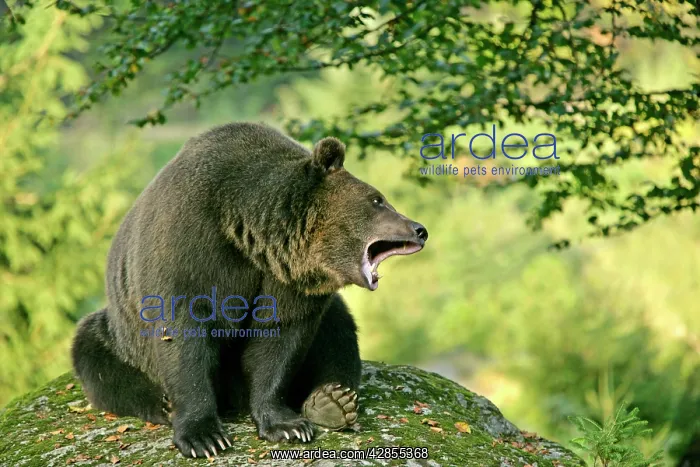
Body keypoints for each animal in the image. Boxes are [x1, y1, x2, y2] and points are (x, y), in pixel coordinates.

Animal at [71, 122, 428, 459]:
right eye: (377, 200)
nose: (420, 229)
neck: (250, 232)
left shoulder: (286, 283)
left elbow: (279, 339)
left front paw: (287, 424)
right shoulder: (188, 244)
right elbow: (182, 333)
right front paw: (204, 436)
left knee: (339, 330)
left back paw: (332, 400)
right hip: (119, 335)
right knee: (97, 358)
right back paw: (163, 403)